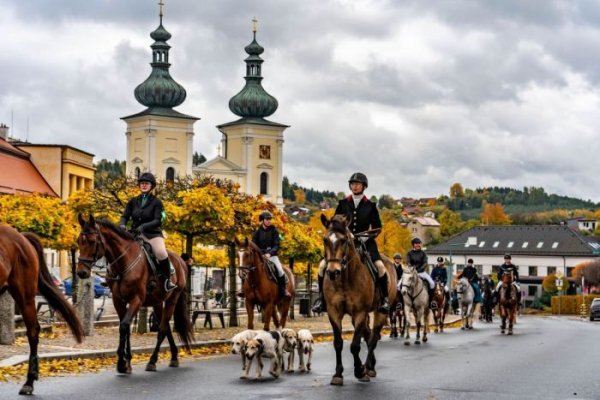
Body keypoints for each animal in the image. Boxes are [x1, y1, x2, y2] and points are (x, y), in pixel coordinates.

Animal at [74, 216, 192, 376]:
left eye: (92, 241)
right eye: (78, 241)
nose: (81, 272)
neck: (123, 264)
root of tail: (181, 261)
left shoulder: (136, 300)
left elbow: (124, 326)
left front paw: (122, 363)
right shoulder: (118, 300)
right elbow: (125, 328)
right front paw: (127, 363)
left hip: (172, 300)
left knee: (162, 329)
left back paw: (152, 361)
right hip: (157, 302)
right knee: (166, 327)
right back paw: (173, 356)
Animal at [322, 214, 396, 386]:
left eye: (344, 240)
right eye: (325, 240)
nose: (333, 272)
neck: (345, 278)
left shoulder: (360, 312)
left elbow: (355, 346)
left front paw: (359, 370)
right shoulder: (333, 312)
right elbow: (338, 343)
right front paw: (338, 374)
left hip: (380, 311)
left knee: (373, 338)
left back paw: (367, 367)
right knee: (367, 335)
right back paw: (370, 366)